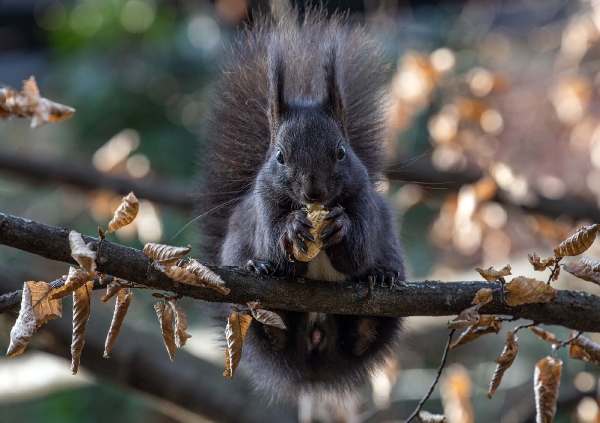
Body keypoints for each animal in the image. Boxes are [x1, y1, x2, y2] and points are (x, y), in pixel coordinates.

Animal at [196, 10, 404, 400]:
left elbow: (358, 250)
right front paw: (291, 232)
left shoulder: (364, 200)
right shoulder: (263, 205)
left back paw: (377, 293)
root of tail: (312, 365)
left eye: (341, 152)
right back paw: (260, 278)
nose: (314, 192)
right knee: (269, 330)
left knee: (363, 337)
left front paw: (341, 227)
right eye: (279, 156)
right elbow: (274, 244)